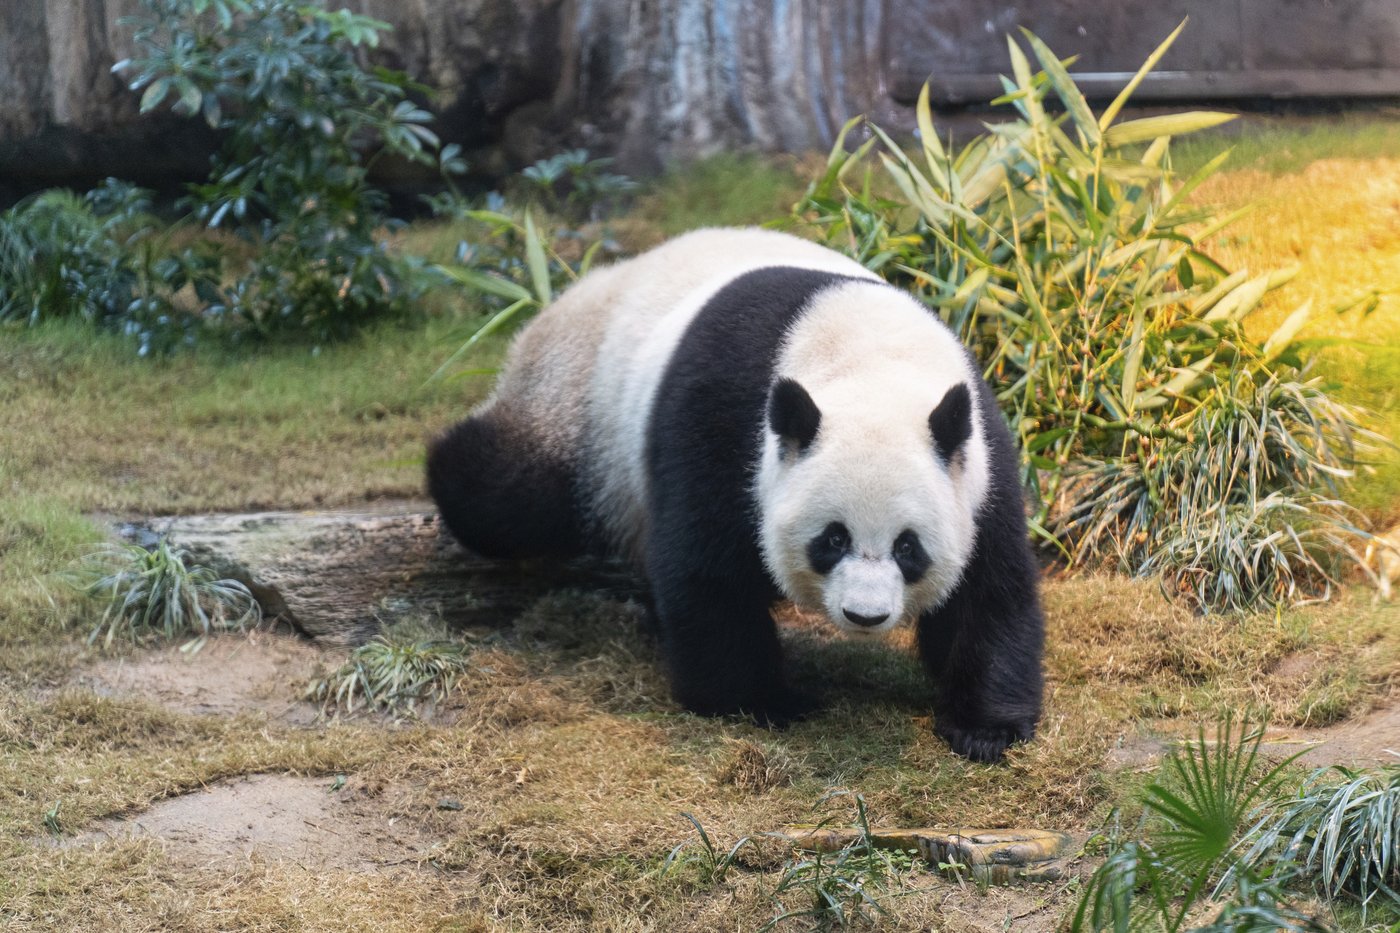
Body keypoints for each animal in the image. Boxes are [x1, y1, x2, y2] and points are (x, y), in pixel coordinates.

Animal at [427, 227, 1044, 762]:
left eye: (908, 547)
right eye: (832, 539)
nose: (864, 616)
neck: (870, 360)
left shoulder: (978, 463)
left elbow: (990, 590)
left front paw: (985, 728)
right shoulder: (724, 422)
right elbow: (707, 570)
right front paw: (762, 701)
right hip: (582, 408)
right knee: (511, 494)